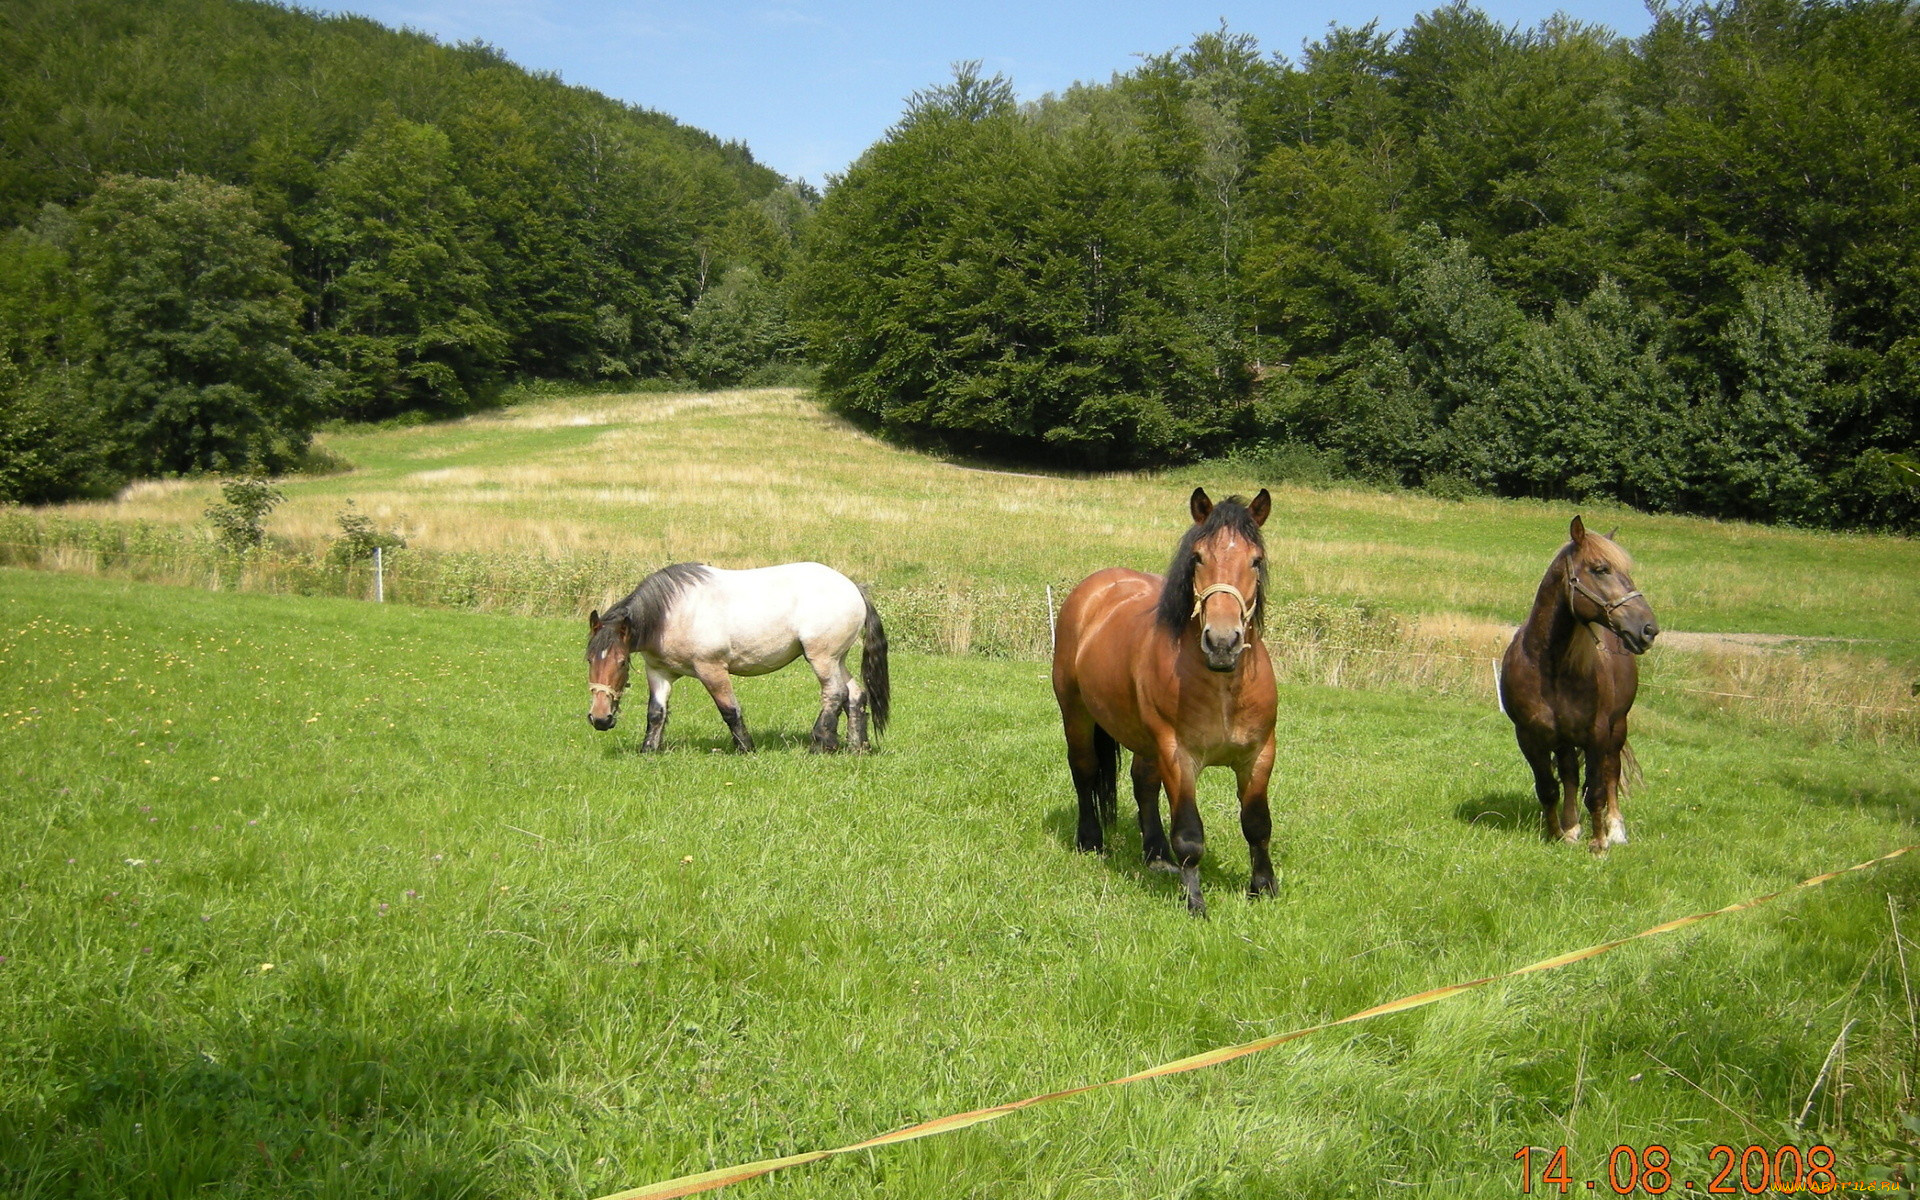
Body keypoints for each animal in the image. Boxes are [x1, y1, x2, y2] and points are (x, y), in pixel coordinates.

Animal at [583, 560, 890, 748]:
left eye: (622, 661)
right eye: (588, 659)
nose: (600, 719)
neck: (671, 614)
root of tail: (854, 588)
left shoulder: (711, 669)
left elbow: (729, 710)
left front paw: (747, 748)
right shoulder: (659, 672)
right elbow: (656, 713)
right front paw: (649, 749)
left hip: (822, 658)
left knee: (834, 694)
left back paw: (821, 743)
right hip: (838, 659)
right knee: (855, 695)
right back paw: (856, 746)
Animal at [1052, 481, 1274, 913]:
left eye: (1255, 561)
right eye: (1198, 556)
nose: (1222, 642)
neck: (1222, 685)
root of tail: (1094, 589)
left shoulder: (1258, 755)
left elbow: (1257, 823)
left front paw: (1264, 888)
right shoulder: (1178, 755)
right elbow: (1189, 833)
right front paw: (1196, 903)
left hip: (1144, 738)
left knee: (1143, 782)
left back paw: (1156, 855)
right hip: (1076, 713)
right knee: (1084, 770)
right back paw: (1090, 840)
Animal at [1505, 518, 1658, 852]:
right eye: (1601, 568)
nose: (1648, 629)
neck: (1551, 667)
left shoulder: (1596, 735)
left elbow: (1597, 789)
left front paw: (1599, 844)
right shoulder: (1529, 737)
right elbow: (1549, 787)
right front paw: (1556, 835)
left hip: (1617, 728)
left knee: (1611, 773)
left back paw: (1615, 830)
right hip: (1564, 739)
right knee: (1570, 775)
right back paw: (1571, 826)